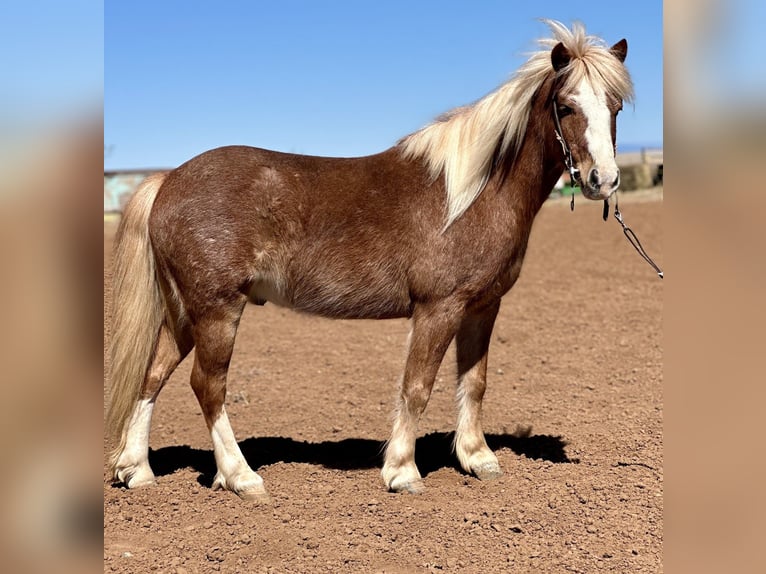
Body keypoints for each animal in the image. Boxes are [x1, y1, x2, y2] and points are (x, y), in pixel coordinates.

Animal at [106, 20, 633, 501]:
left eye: (615, 107)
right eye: (565, 106)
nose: (603, 180)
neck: (473, 193)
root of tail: (168, 180)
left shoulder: (483, 307)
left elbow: (474, 382)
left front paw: (478, 459)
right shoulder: (438, 308)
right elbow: (417, 386)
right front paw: (402, 472)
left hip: (184, 314)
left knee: (152, 375)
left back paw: (137, 471)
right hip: (216, 310)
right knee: (208, 386)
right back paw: (241, 477)